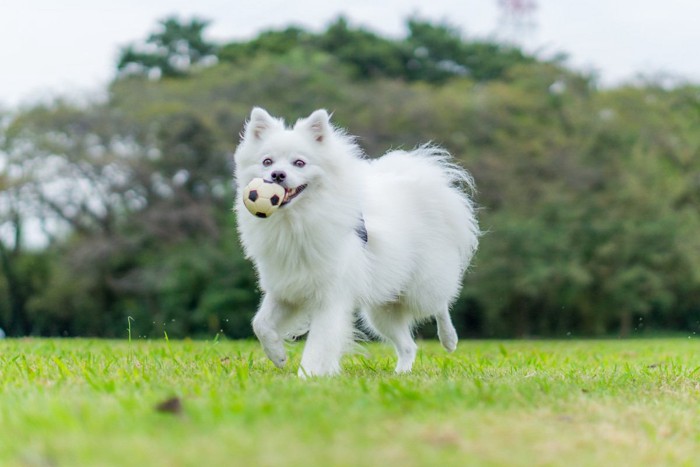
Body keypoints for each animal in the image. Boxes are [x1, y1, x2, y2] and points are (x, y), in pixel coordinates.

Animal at [232, 107, 478, 376]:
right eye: (267, 162)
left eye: (299, 163)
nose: (277, 175)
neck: (296, 220)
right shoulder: (287, 288)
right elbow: (260, 324)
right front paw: (277, 355)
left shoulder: (331, 297)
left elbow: (319, 343)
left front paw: (308, 376)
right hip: (382, 308)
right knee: (408, 345)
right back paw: (401, 373)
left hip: (421, 289)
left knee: (441, 305)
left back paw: (449, 339)